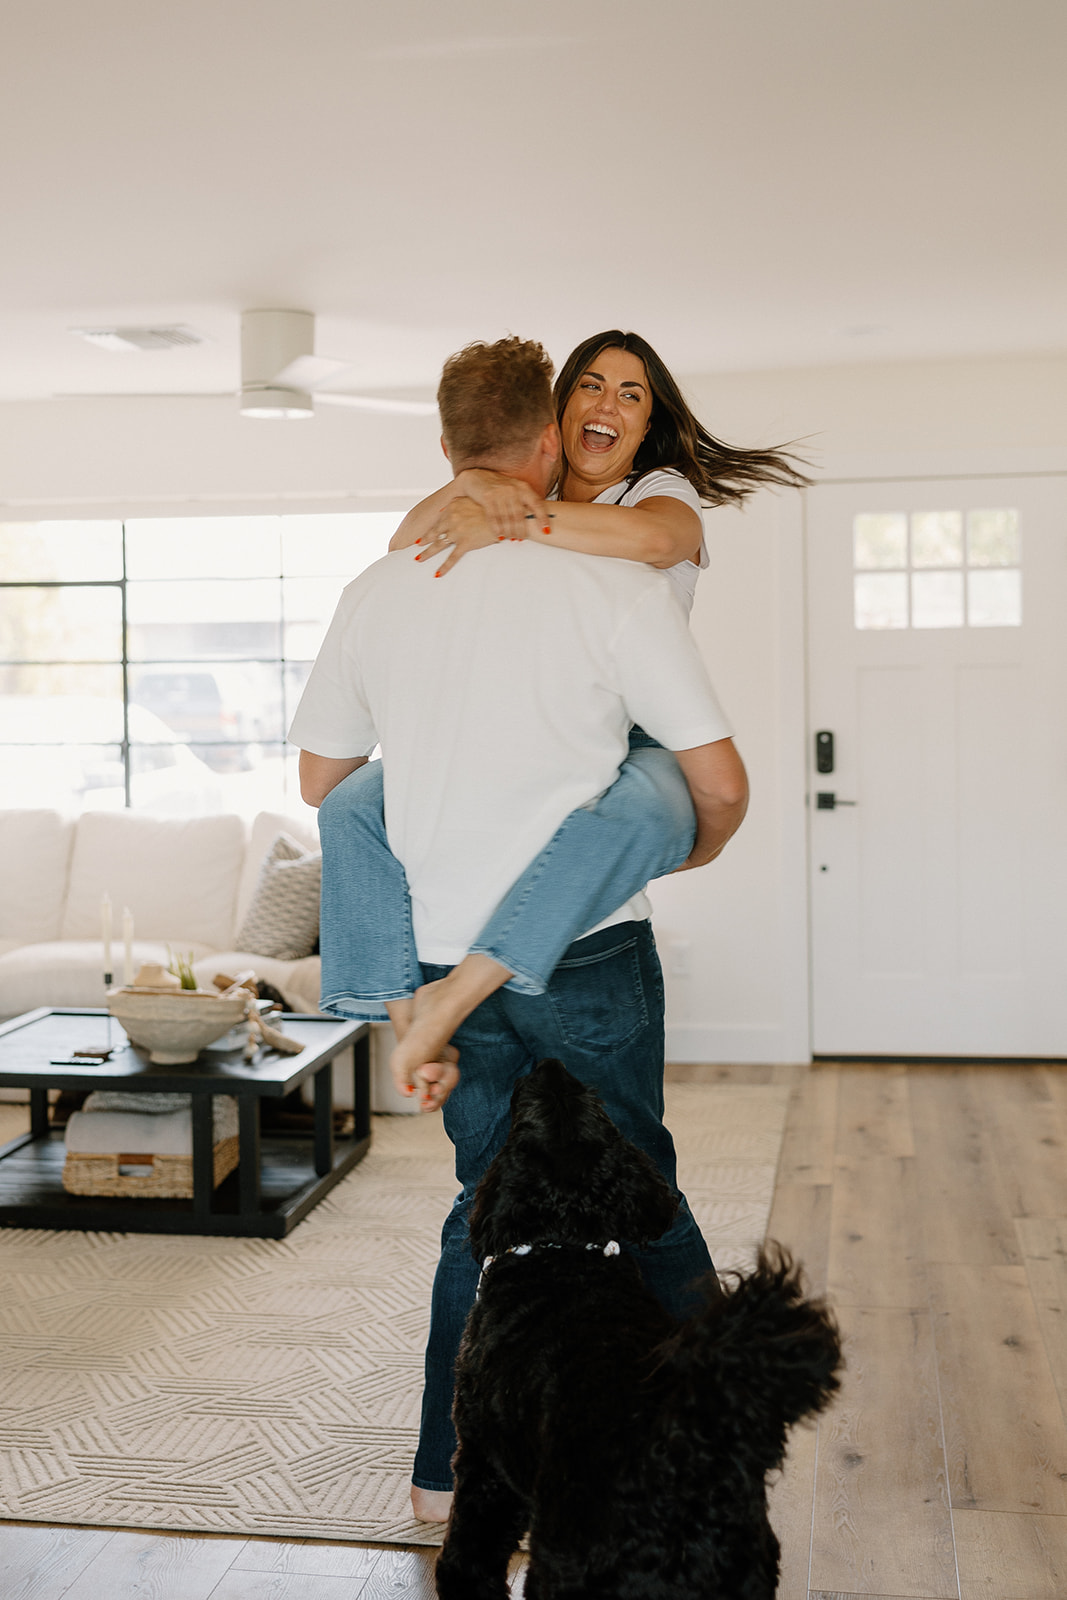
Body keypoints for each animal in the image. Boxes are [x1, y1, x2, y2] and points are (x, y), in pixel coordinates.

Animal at [435, 1056, 844, 1593]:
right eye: (594, 1102)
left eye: (525, 1114)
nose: (549, 1061)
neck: (564, 1253)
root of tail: (687, 1457)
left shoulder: (484, 1462)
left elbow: (468, 1556)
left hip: (564, 1566)